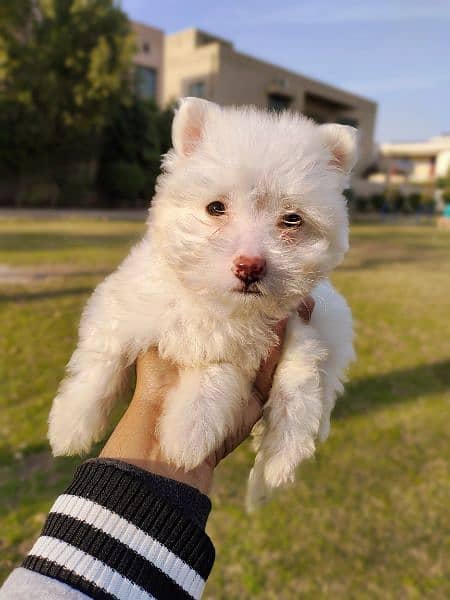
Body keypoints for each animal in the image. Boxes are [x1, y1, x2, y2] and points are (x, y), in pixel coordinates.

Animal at [48, 99, 356, 510]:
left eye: (292, 219)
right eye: (215, 208)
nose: (250, 265)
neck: (211, 301)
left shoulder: (254, 342)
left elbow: (213, 372)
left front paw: (187, 436)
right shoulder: (125, 301)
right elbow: (102, 359)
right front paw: (71, 423)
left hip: (311, 346)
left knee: (299, 409)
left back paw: (273, 471)